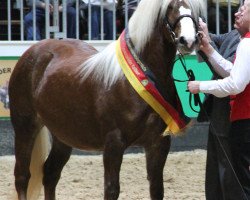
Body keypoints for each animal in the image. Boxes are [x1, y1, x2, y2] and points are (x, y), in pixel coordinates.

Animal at [9, 0, 205, 200]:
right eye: (170, 7)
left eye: (195, 9)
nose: (188, 41)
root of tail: (34, 52)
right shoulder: (114, 143)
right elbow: (111, 189)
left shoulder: (158, 143)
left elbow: (157, 188)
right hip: (25, 126)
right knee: (22, 176)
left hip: (63, 135)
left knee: (50, 173)